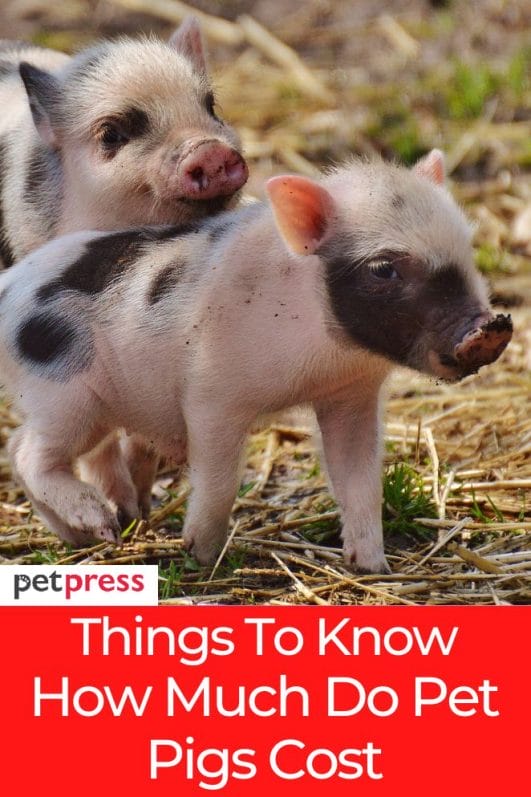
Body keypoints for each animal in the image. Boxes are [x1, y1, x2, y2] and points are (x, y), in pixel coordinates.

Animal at [0, 151, 512, 572]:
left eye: (467, 247)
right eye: (384, 269)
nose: (491, 327)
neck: (324, 357)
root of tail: (9, 287)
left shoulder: (351, 397)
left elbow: (361, 482)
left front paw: (373, 568)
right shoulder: (210, 396)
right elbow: (220, 481)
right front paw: (200, 558)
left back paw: (92, 536)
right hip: (64, 394)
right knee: (26, 453)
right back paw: (102, 525)